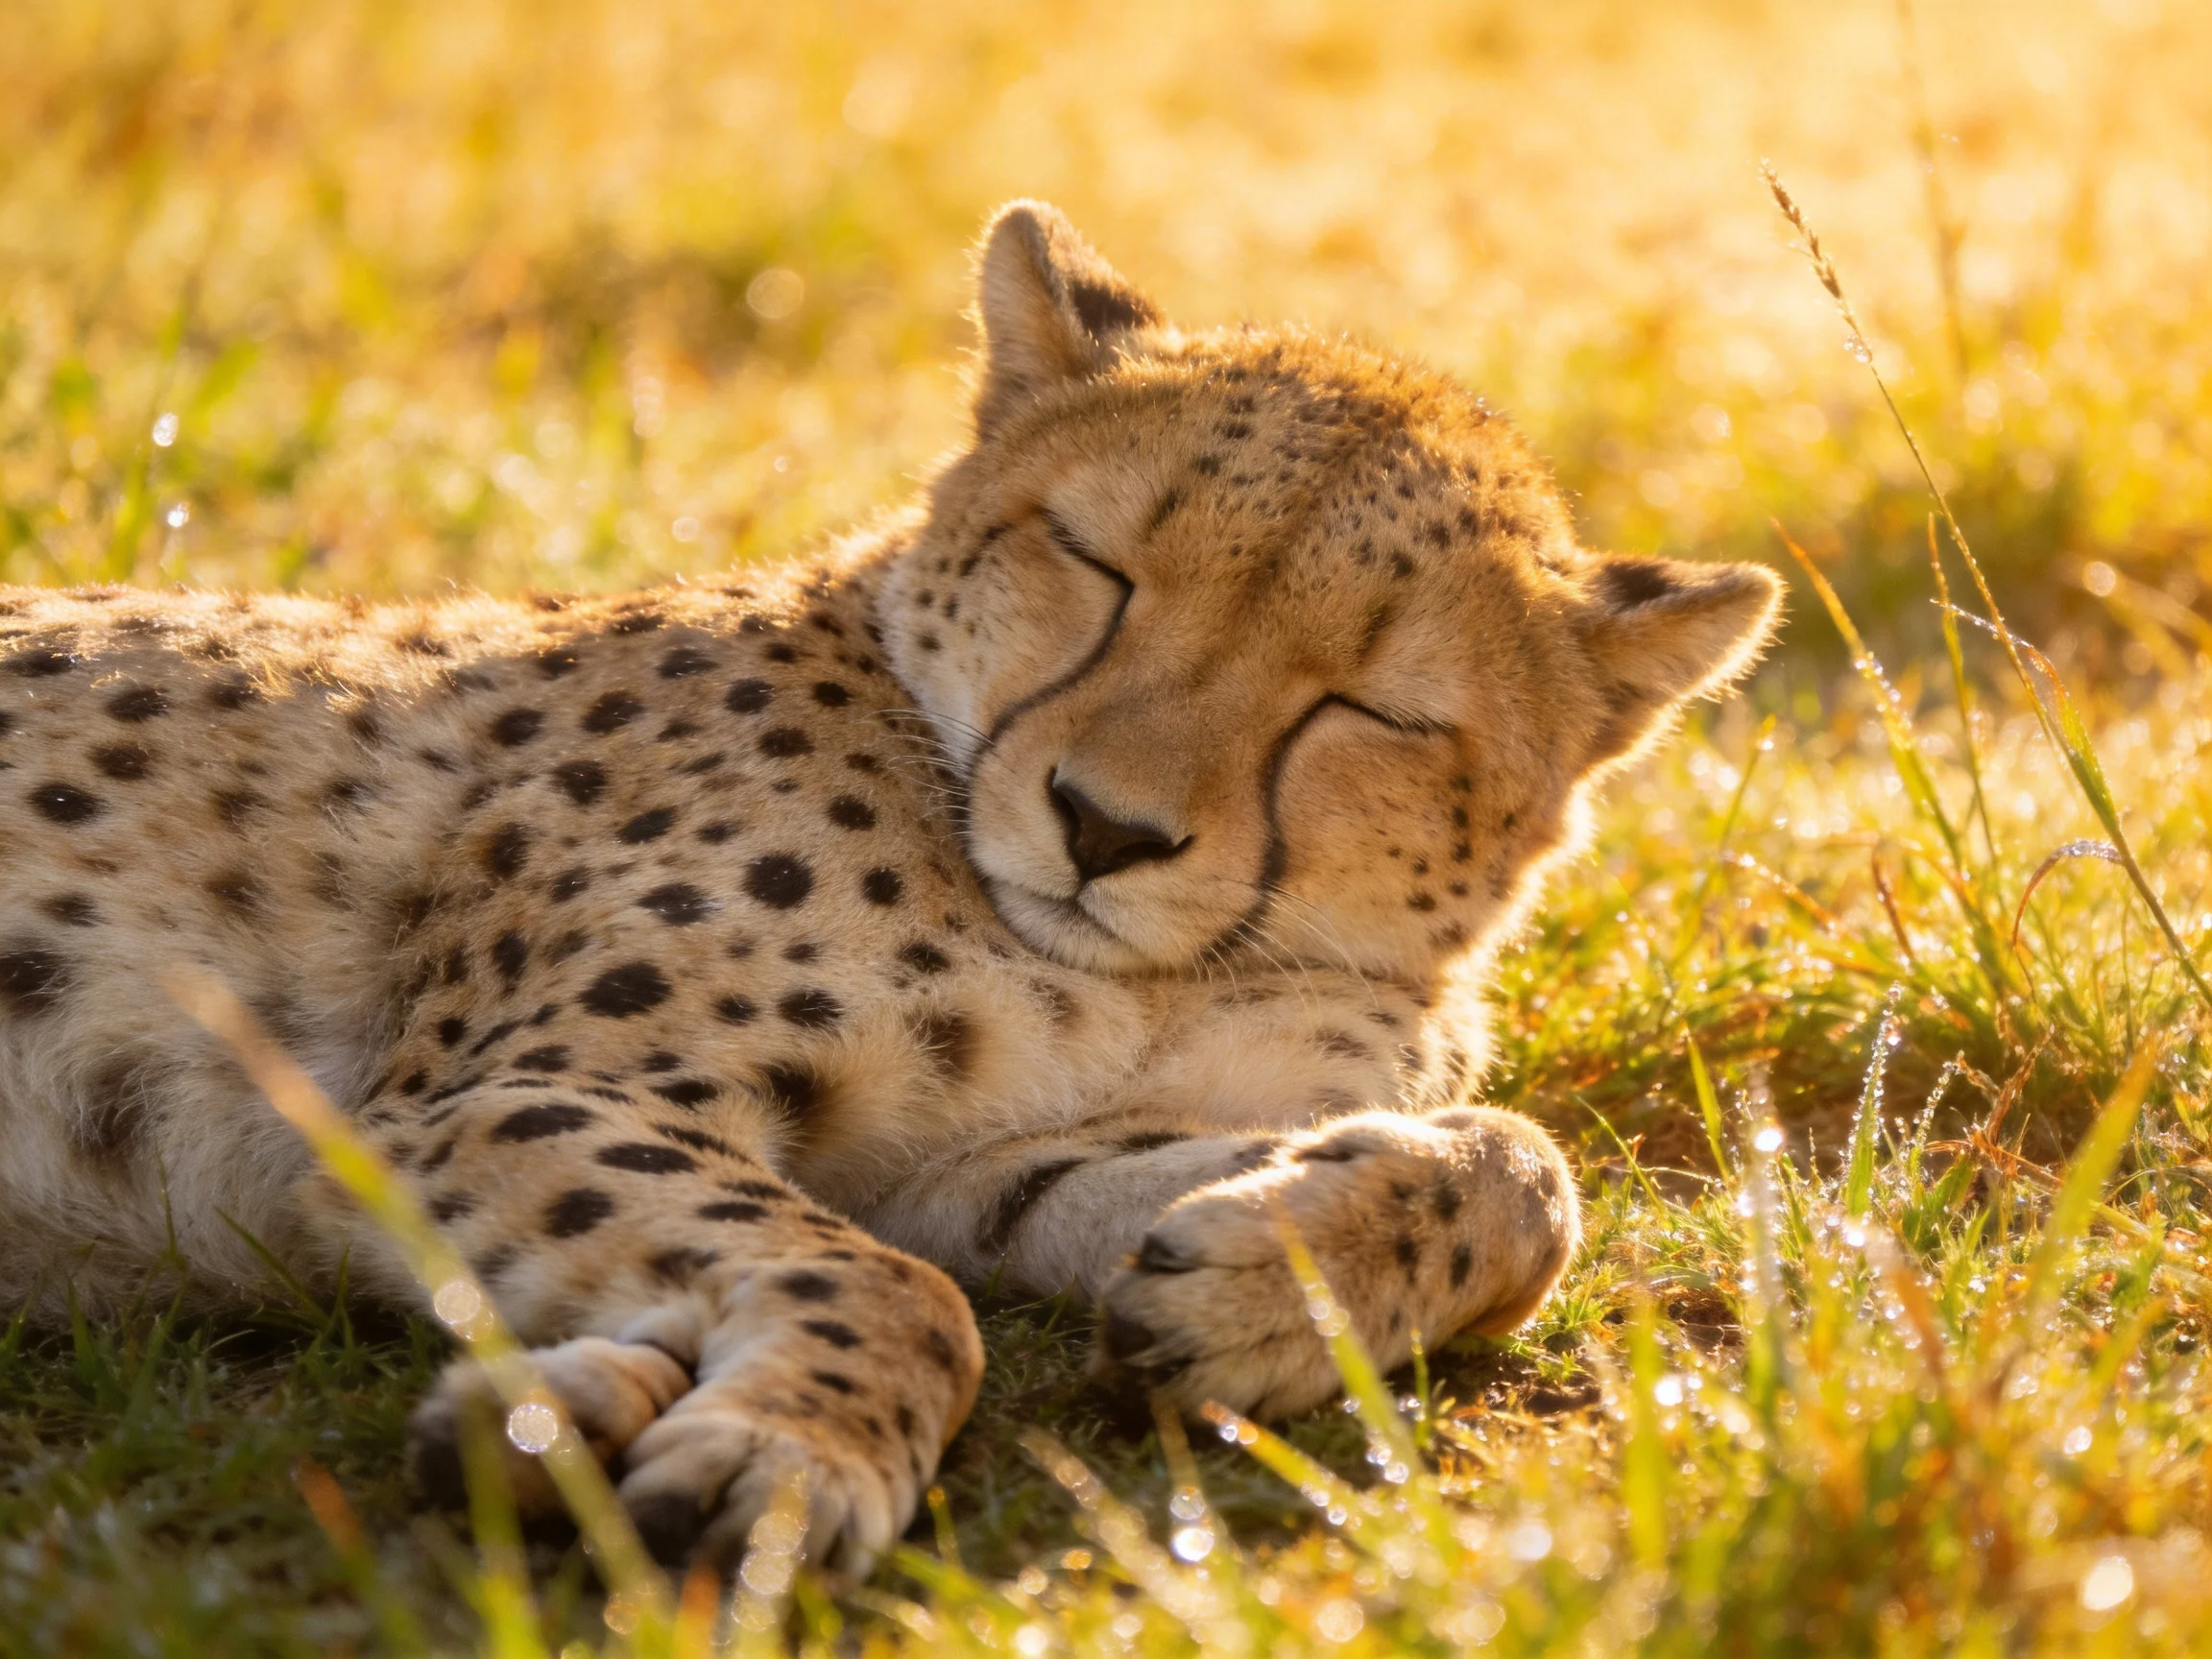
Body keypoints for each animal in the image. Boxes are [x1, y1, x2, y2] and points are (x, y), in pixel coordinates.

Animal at [0, 201, 1779, 1576]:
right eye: (1100, 563)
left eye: (1371, 708)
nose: (1103, 827)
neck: (1165, 962)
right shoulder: (503, 1090)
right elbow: (897, 1291)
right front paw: (783, 1461)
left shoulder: (964, 1160)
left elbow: (1531, 1166)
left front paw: (1276, 1282)